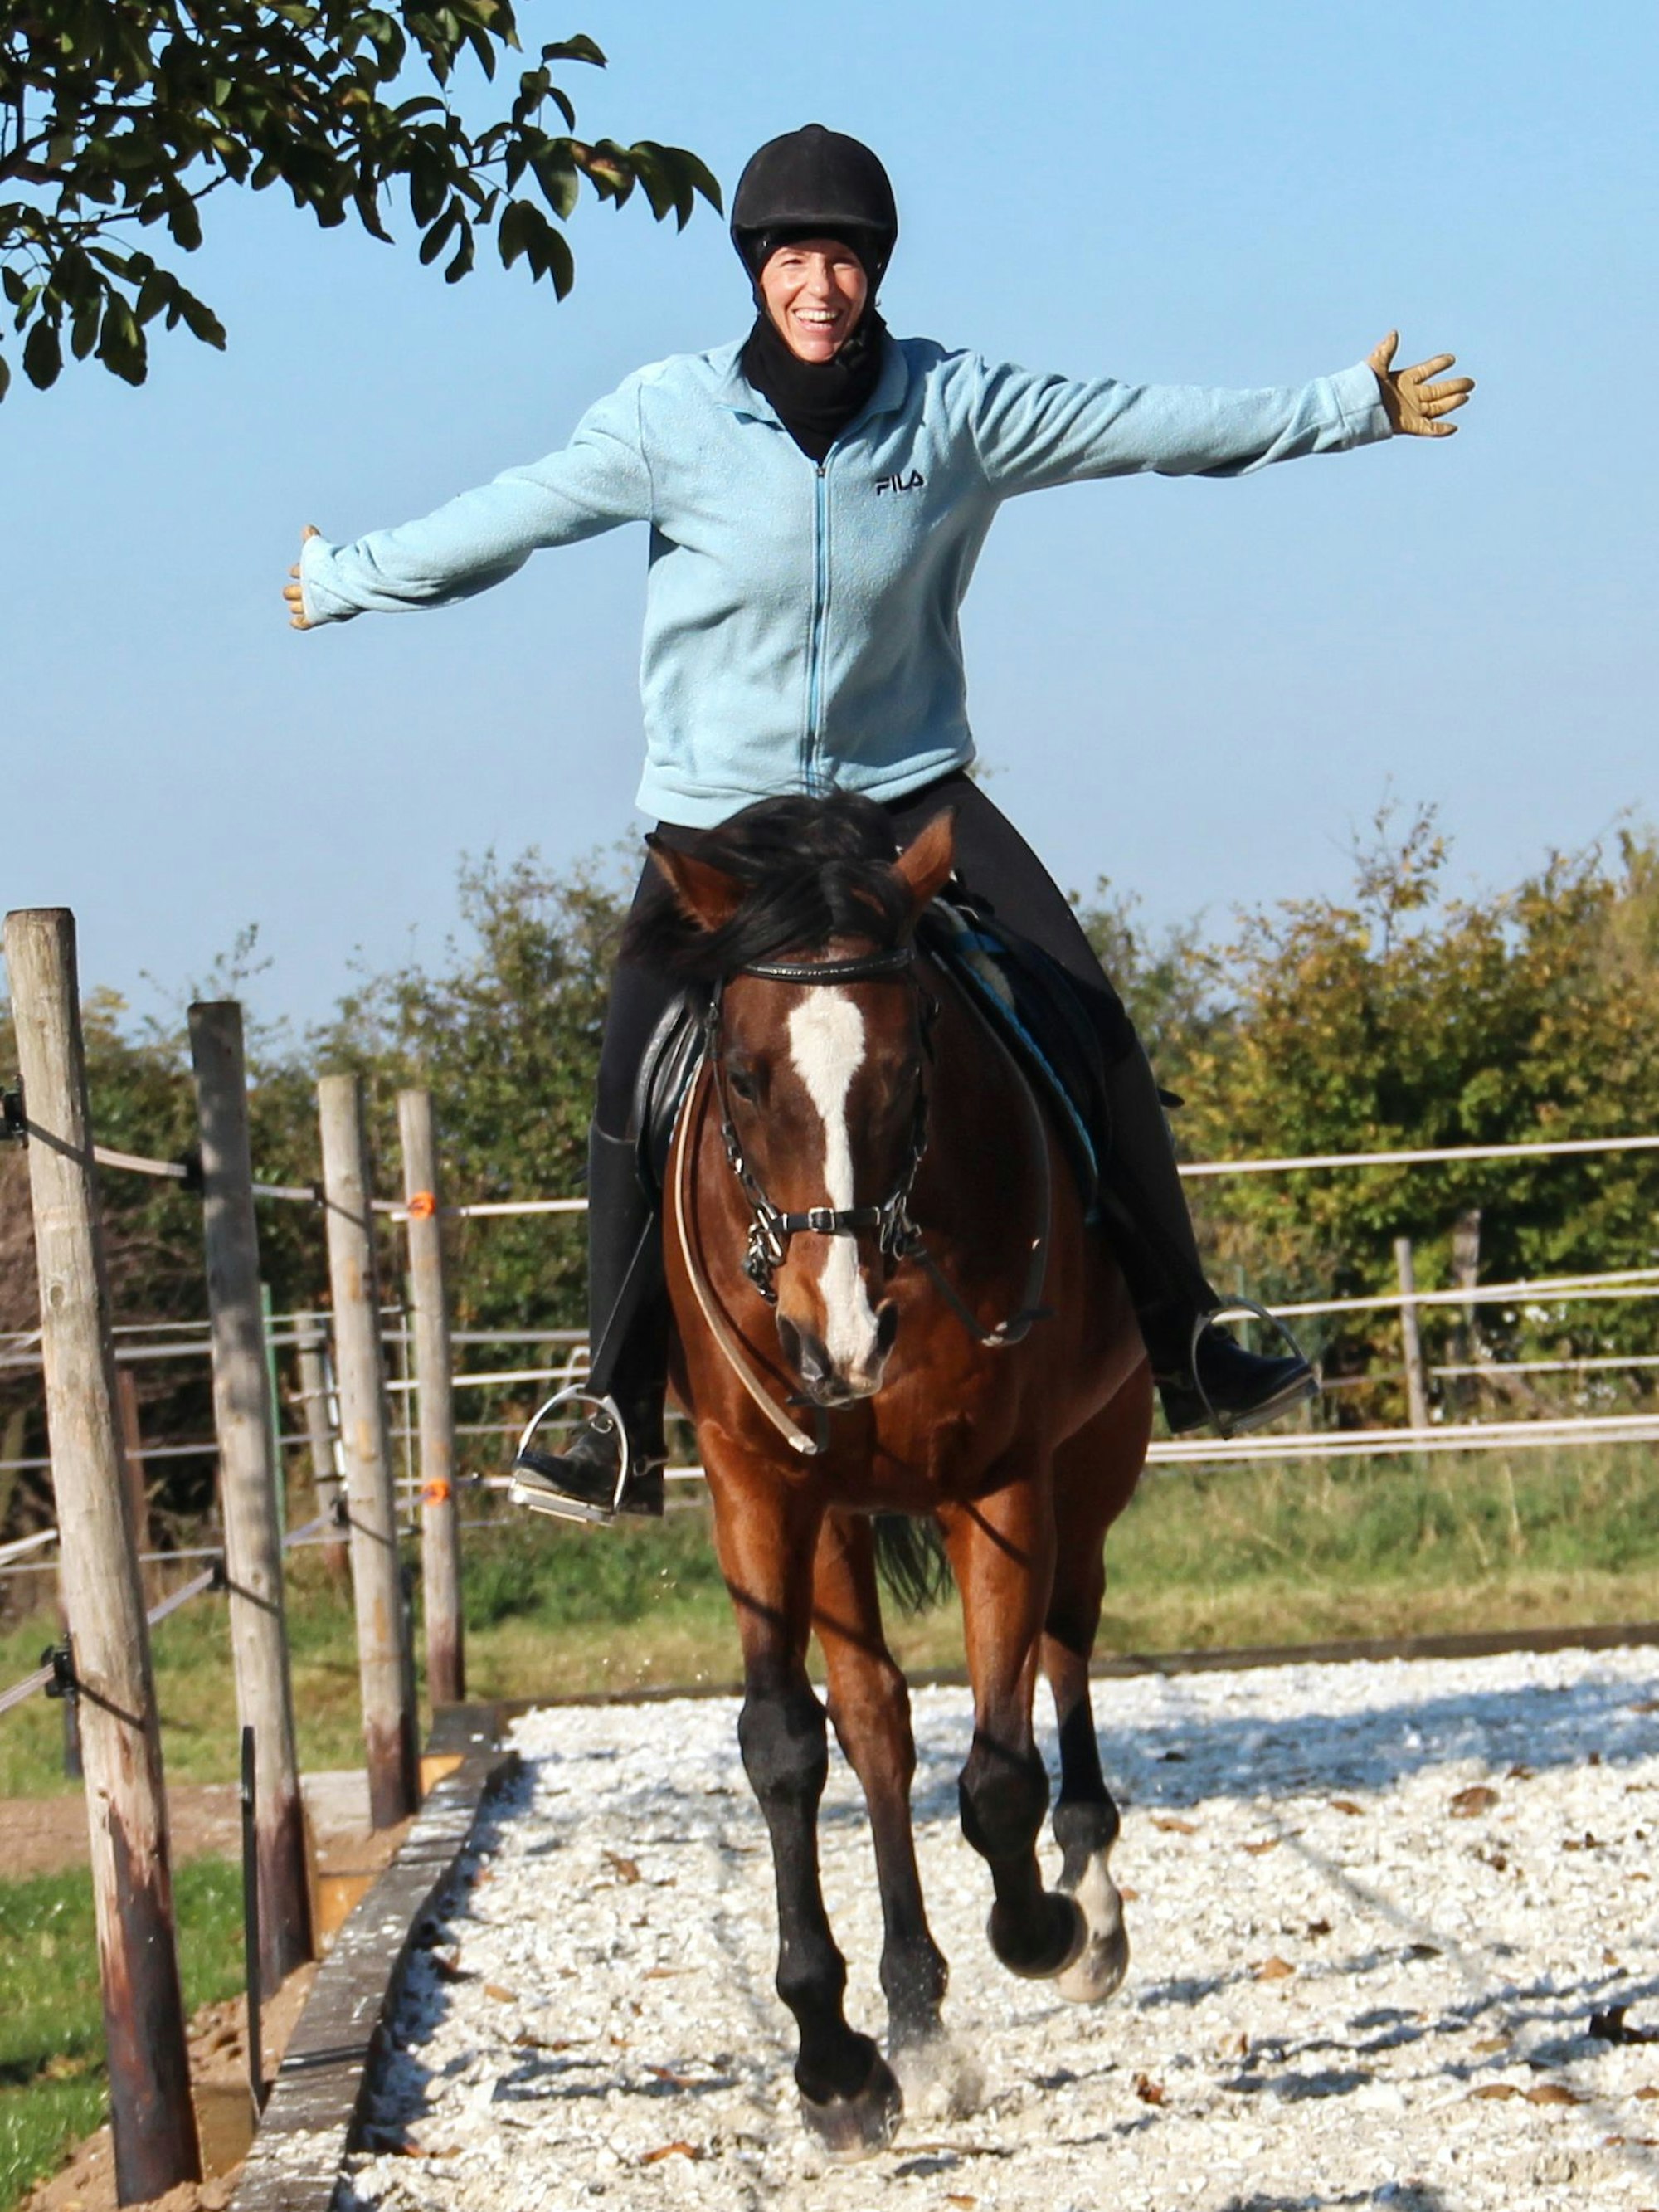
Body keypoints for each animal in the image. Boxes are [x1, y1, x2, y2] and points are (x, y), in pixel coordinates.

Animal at [633, 791, 1153, 2158]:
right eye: (744, 1076)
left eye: (911, 1068)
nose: (842, 1338)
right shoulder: (761, 1488)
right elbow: (785, 1743)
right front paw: (834, 2059)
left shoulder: (1005, 1485)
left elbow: (1001, 1772)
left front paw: (1042, 1927)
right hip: (836, 1520)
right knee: (874, 1724)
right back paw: (914, 2013)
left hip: (1093, 1466)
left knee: (1066, 1643)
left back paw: (1087, 1908)